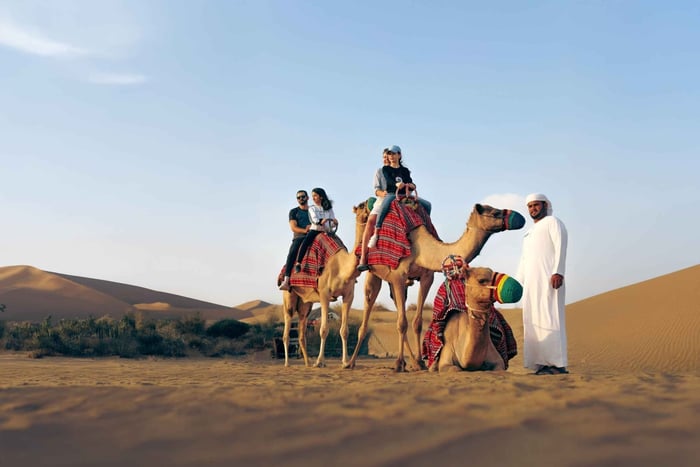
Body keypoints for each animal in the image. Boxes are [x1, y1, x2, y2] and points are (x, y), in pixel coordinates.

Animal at [279, 208, 365, 368]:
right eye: (362, 207)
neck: (341, 266)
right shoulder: (325, 294)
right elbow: (323, 329)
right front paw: (320, 361)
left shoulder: (349, 295)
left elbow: (344, 331)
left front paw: (345, 362)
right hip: (289, 297)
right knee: (287, 331)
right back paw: (287, 363)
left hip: (305, 304)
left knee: (302, 333)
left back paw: (307, 363)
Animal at [347, 202, 525, 372]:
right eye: (495, 213)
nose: (520, 218)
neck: (421, 250)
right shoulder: (398, 276)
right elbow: (402, 323)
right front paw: (398, 364)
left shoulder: (426, 277)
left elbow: (417, 322)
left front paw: (420, 362)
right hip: (374, 273)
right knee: (369, 304)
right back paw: (350, 363)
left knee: (398, 305)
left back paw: (412, 362)